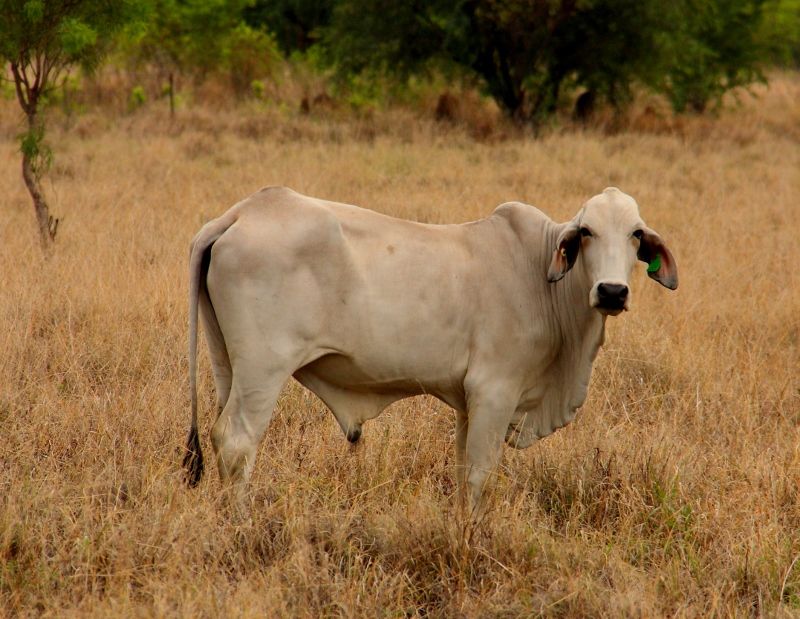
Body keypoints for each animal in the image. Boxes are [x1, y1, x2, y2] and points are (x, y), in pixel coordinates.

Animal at [183, 186, 677, 514]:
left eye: (636, 234)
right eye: (587, 231)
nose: (611, 291)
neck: (540, 277)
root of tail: (242, 213)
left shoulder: (468, 403)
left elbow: (461, 475)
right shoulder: (495, 392)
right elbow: (479, 478)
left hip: (227, 365)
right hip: (263, 369)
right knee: (236, 442)